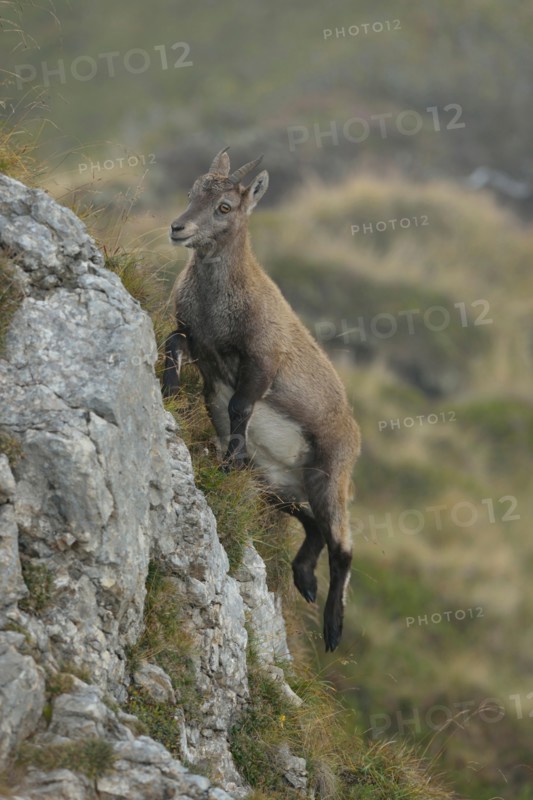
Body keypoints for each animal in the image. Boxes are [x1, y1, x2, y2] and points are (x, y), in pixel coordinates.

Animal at [163, 148, 361, 651]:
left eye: (225, 206)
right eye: (192, 192)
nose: (179, 228)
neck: (220, 299)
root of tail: (356, 435)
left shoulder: (263, 362)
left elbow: (239, 407)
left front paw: (227, 460)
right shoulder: (199, 343)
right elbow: (172, 346)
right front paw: (169, 393)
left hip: (329, 477)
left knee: (343, 546)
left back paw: (333, 627)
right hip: (276, 481)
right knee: (310, 523)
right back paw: (304, 578)